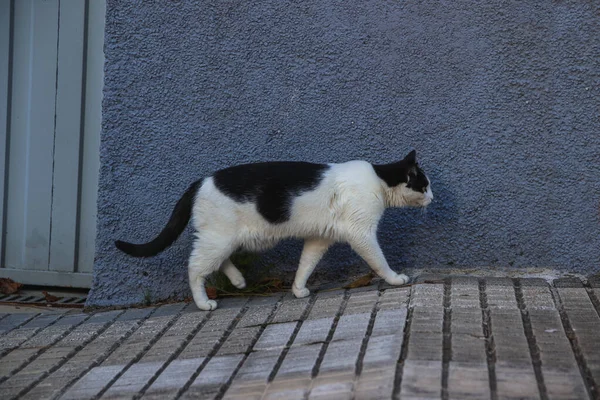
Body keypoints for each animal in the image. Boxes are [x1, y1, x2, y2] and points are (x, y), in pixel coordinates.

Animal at [115, 150, 434, 310]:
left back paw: (239, 281)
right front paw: (395, 279)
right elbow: (378, 260)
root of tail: (200, 181)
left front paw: (298, 289)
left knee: (217, 260)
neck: (379, 181)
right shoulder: (361, 234)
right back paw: (204, 303)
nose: (433, 197)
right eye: (425, 186)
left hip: (225, 239)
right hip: (219, 238)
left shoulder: (319, 238)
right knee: (195, 267)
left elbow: (306, 264)